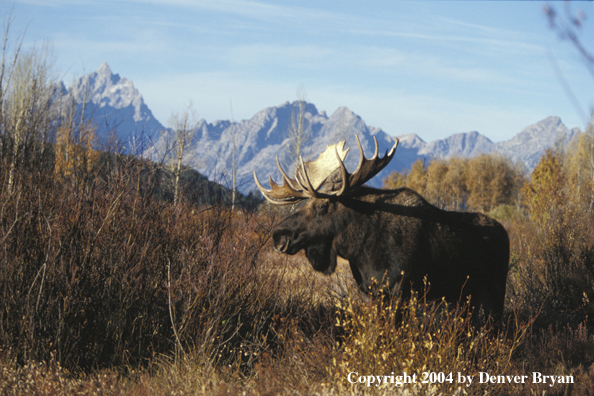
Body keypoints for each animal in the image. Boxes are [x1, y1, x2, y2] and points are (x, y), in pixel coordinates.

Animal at [252, 136, 506, 322]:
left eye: (322, 205)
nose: (278, 236)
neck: (359, 250)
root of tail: (505, 232)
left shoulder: (399, 291)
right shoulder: (368, 292)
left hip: (495, 292)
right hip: (467, 297)